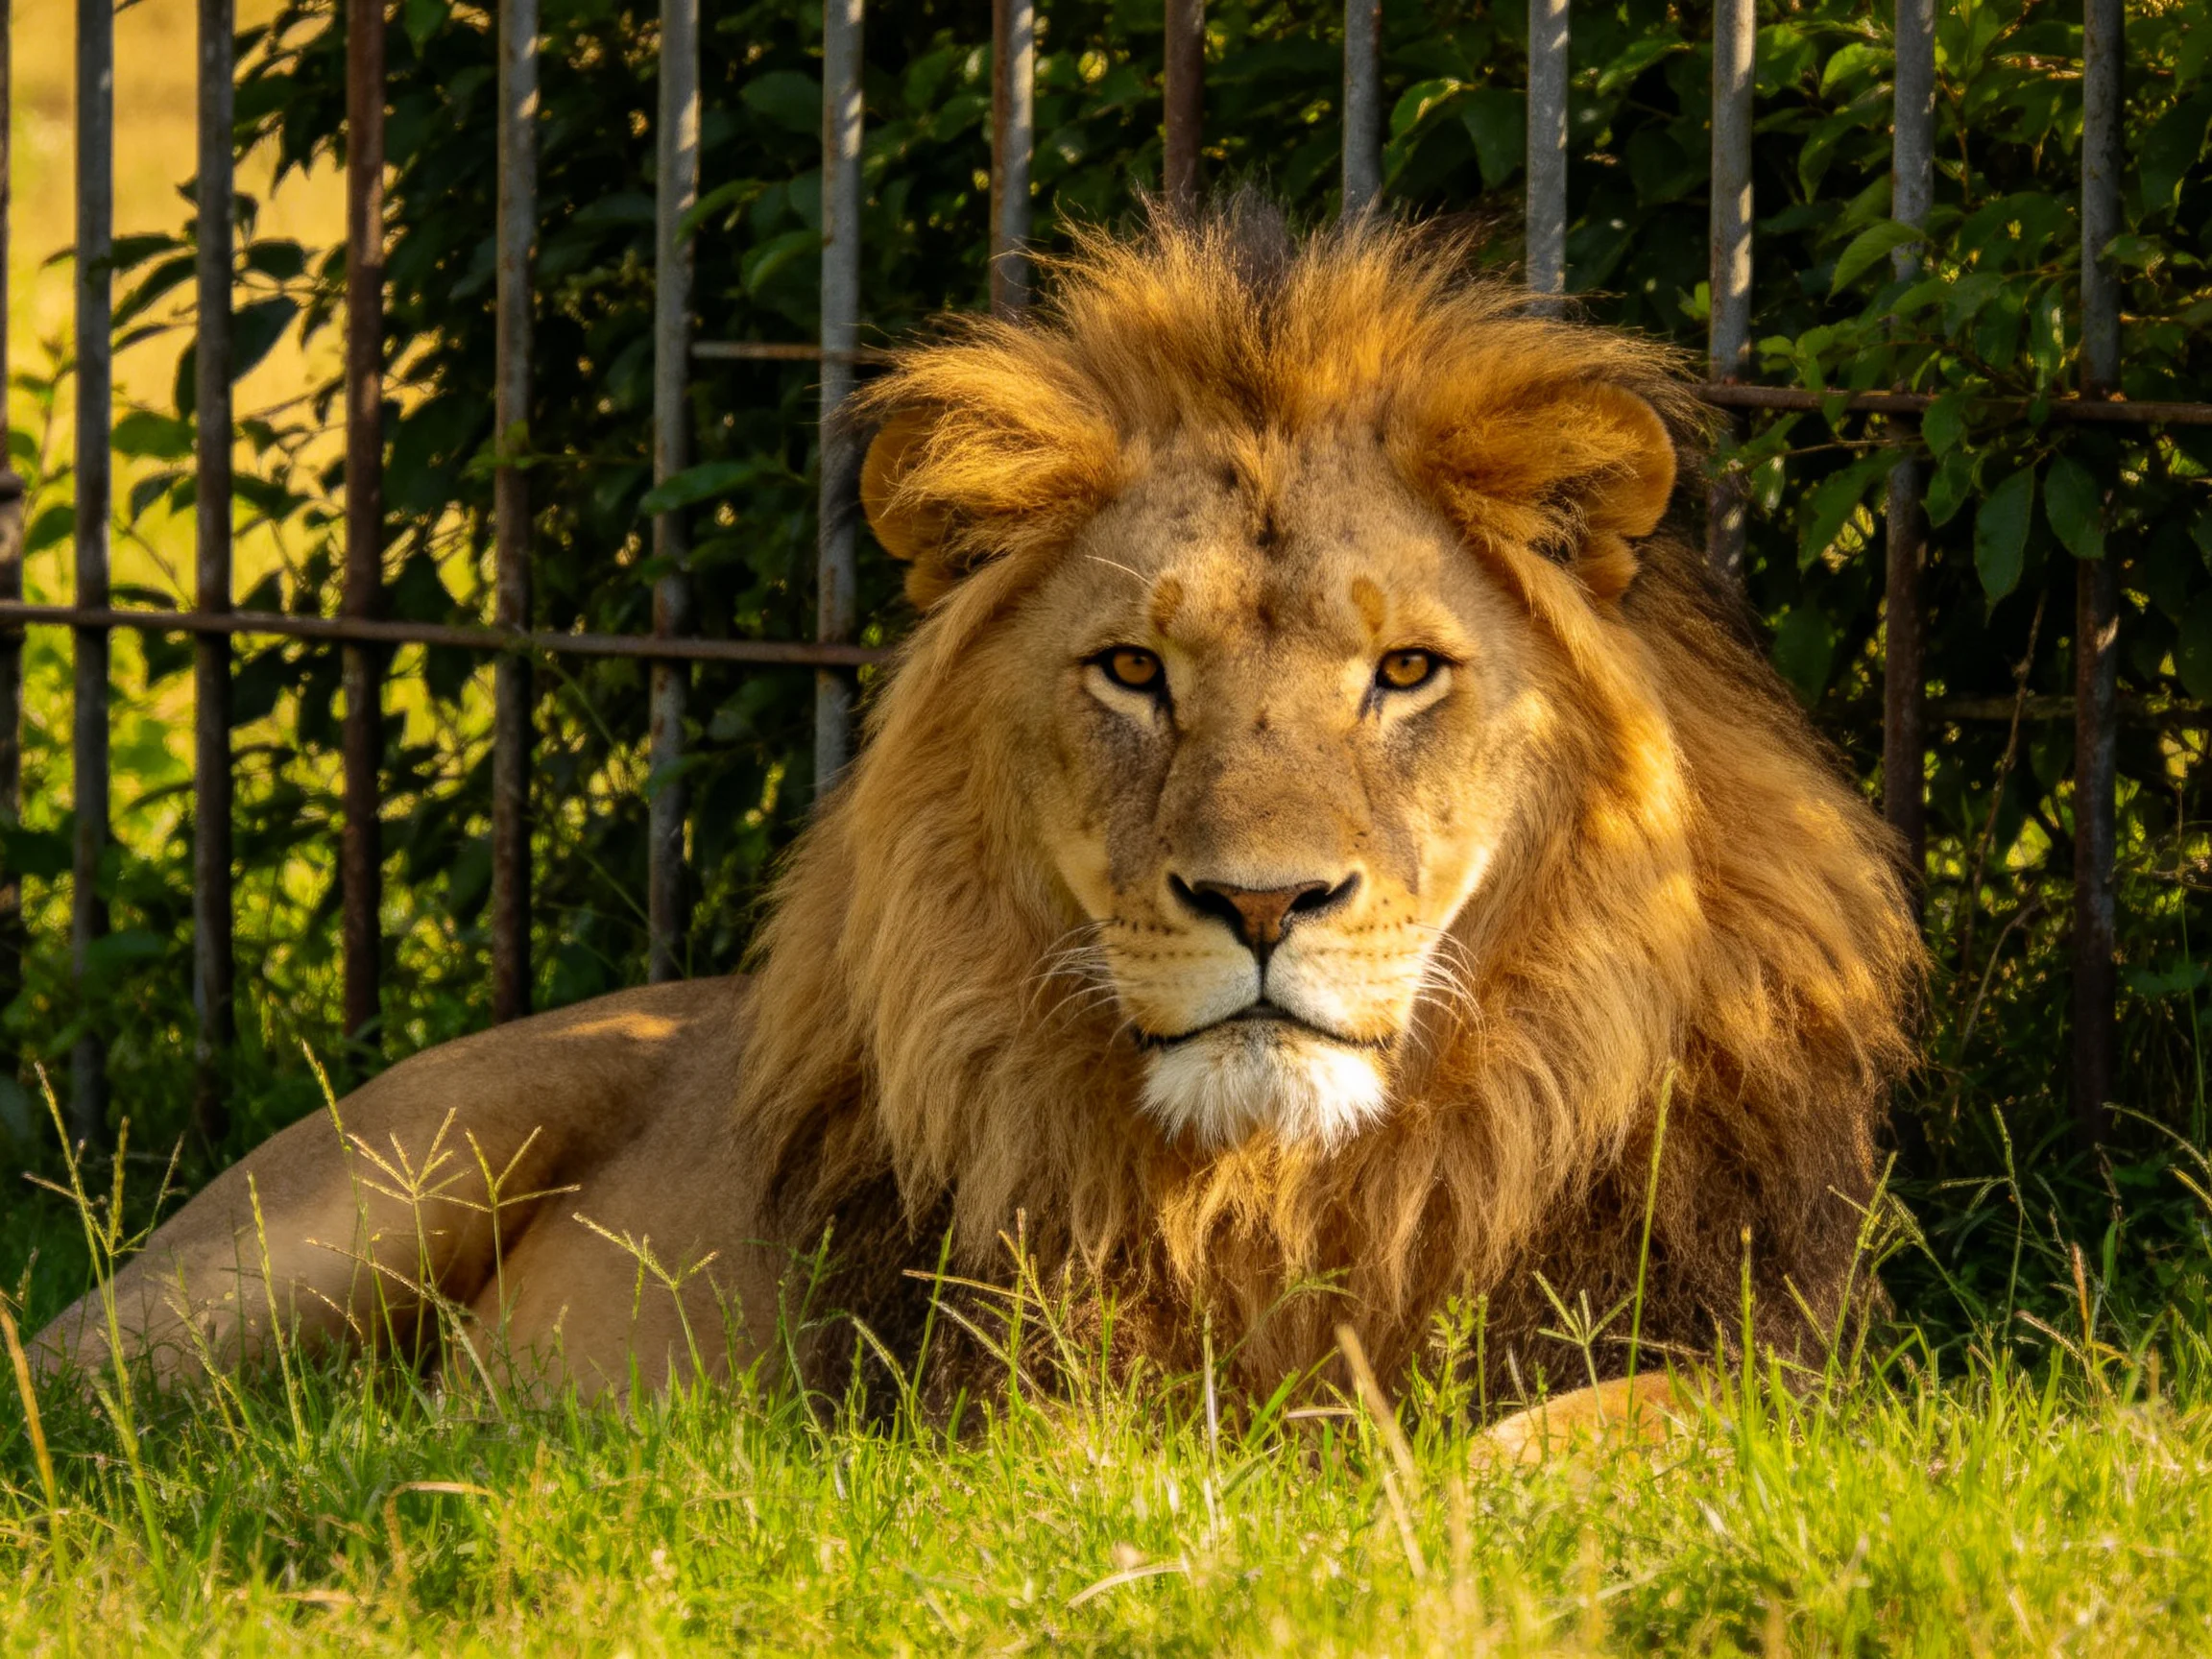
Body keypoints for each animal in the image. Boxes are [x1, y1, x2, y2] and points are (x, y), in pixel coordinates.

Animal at [36, 206, 1920, 1431]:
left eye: (1404, 670)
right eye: (1132, 669)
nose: (1262, 905)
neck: (1303, 1184)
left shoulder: (1769, 1368)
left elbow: (1600, 1426)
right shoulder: (976, 1389)